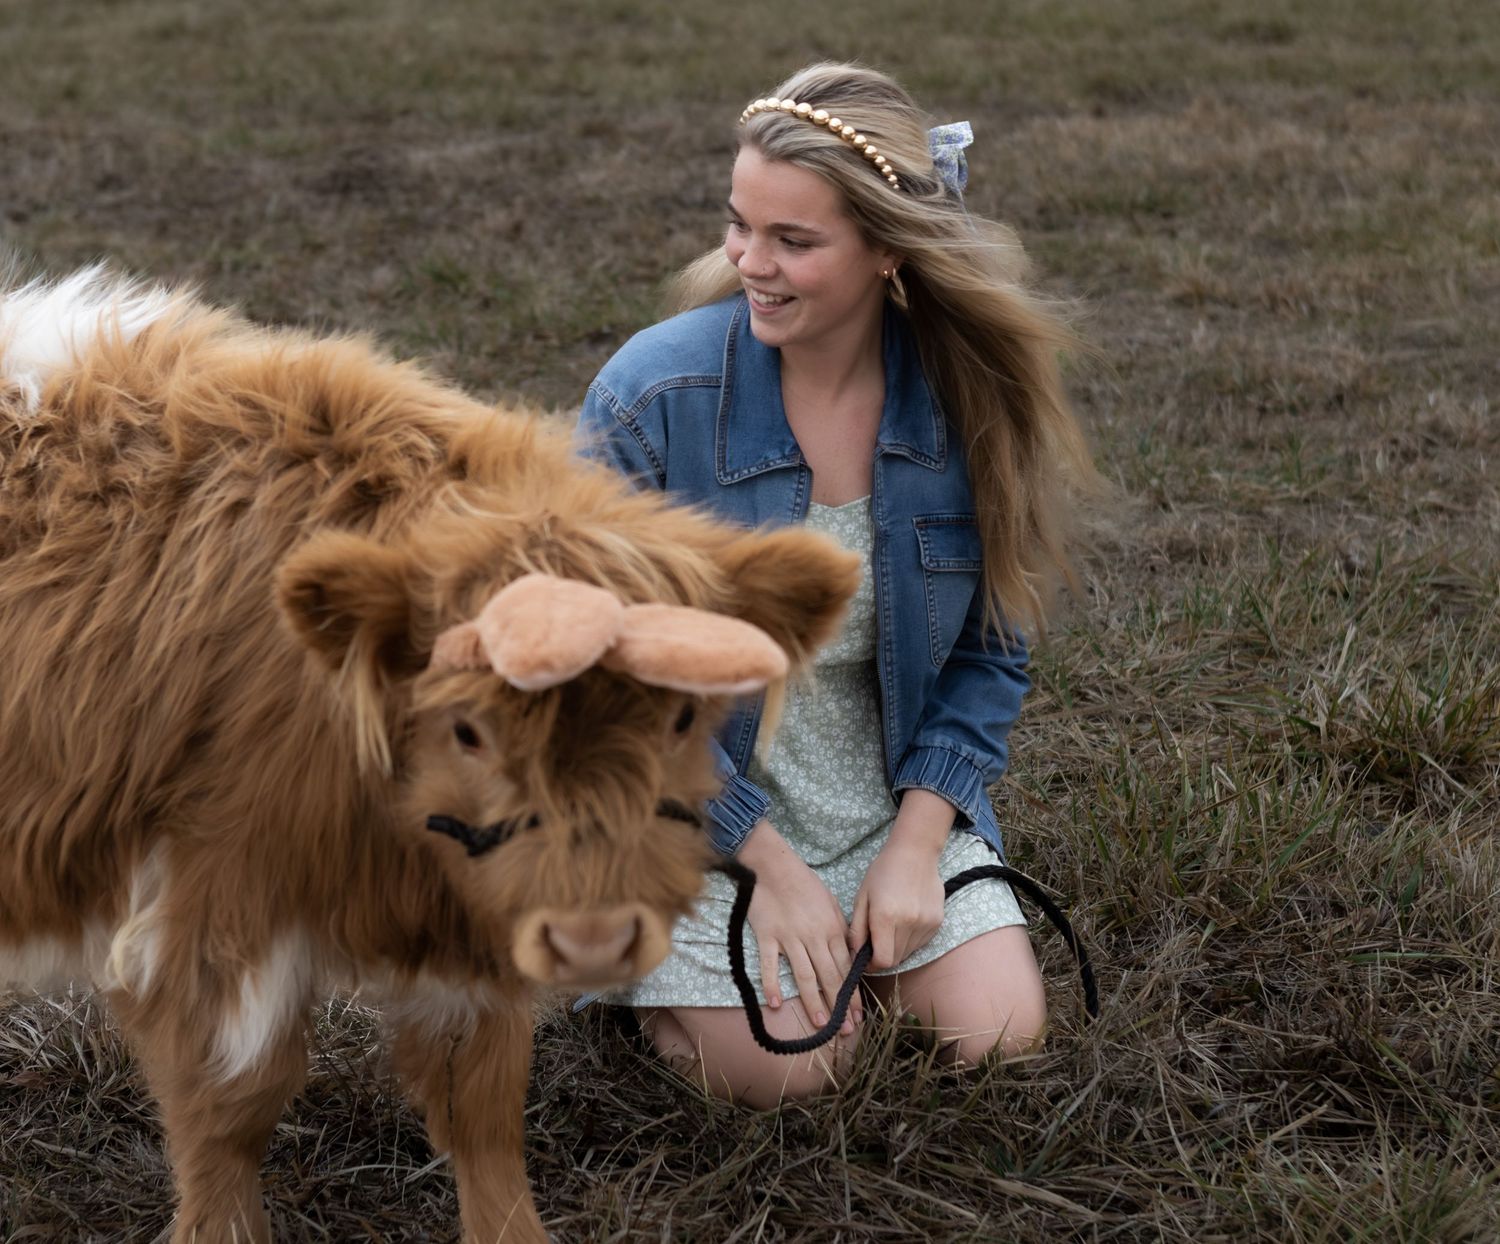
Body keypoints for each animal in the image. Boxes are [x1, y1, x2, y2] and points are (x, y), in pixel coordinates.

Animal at [0, 268, 859, 1242]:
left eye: (682, 717)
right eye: (467, 726)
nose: (595, 936)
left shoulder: (473, 939)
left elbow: (481, 1103)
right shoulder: (209, 904)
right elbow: (230, 1110)